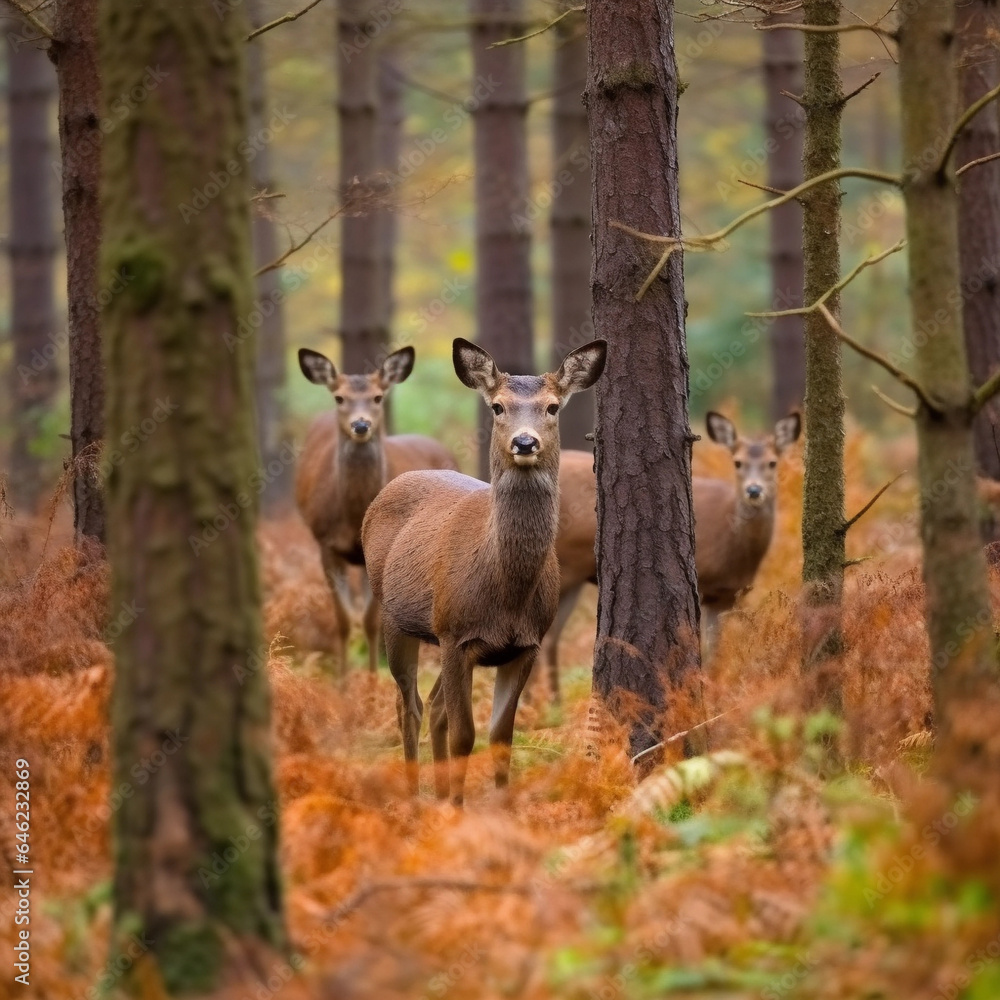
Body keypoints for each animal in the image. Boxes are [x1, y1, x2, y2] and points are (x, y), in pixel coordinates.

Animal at [295, 346, 458, 677]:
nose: (361, 425)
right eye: (339, 397)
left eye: (378, 397)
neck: (352, 516)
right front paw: (344, 682)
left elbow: (371, 622)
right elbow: (344, 619)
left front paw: (371, 680)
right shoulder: (325, 542)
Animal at [361, 337, 607, 805]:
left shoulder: (524, 644)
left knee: (433, 705)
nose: (525, 442)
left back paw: (437, 793)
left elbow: (499, 738)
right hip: (399, 618)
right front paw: (458, 814)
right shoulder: (458, 635)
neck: (506, 592)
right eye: (497, 406)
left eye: (552, 407)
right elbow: (465, 735)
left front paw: (501, 811)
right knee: (409, 705)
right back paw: (415, 798)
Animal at [536, 410, 801, 701]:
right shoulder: (702, 583)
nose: (754, 491)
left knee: (549, 637)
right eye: (738, 462)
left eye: (772, 463)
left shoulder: (727, 595)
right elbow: (701, 648)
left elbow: (717, 651)